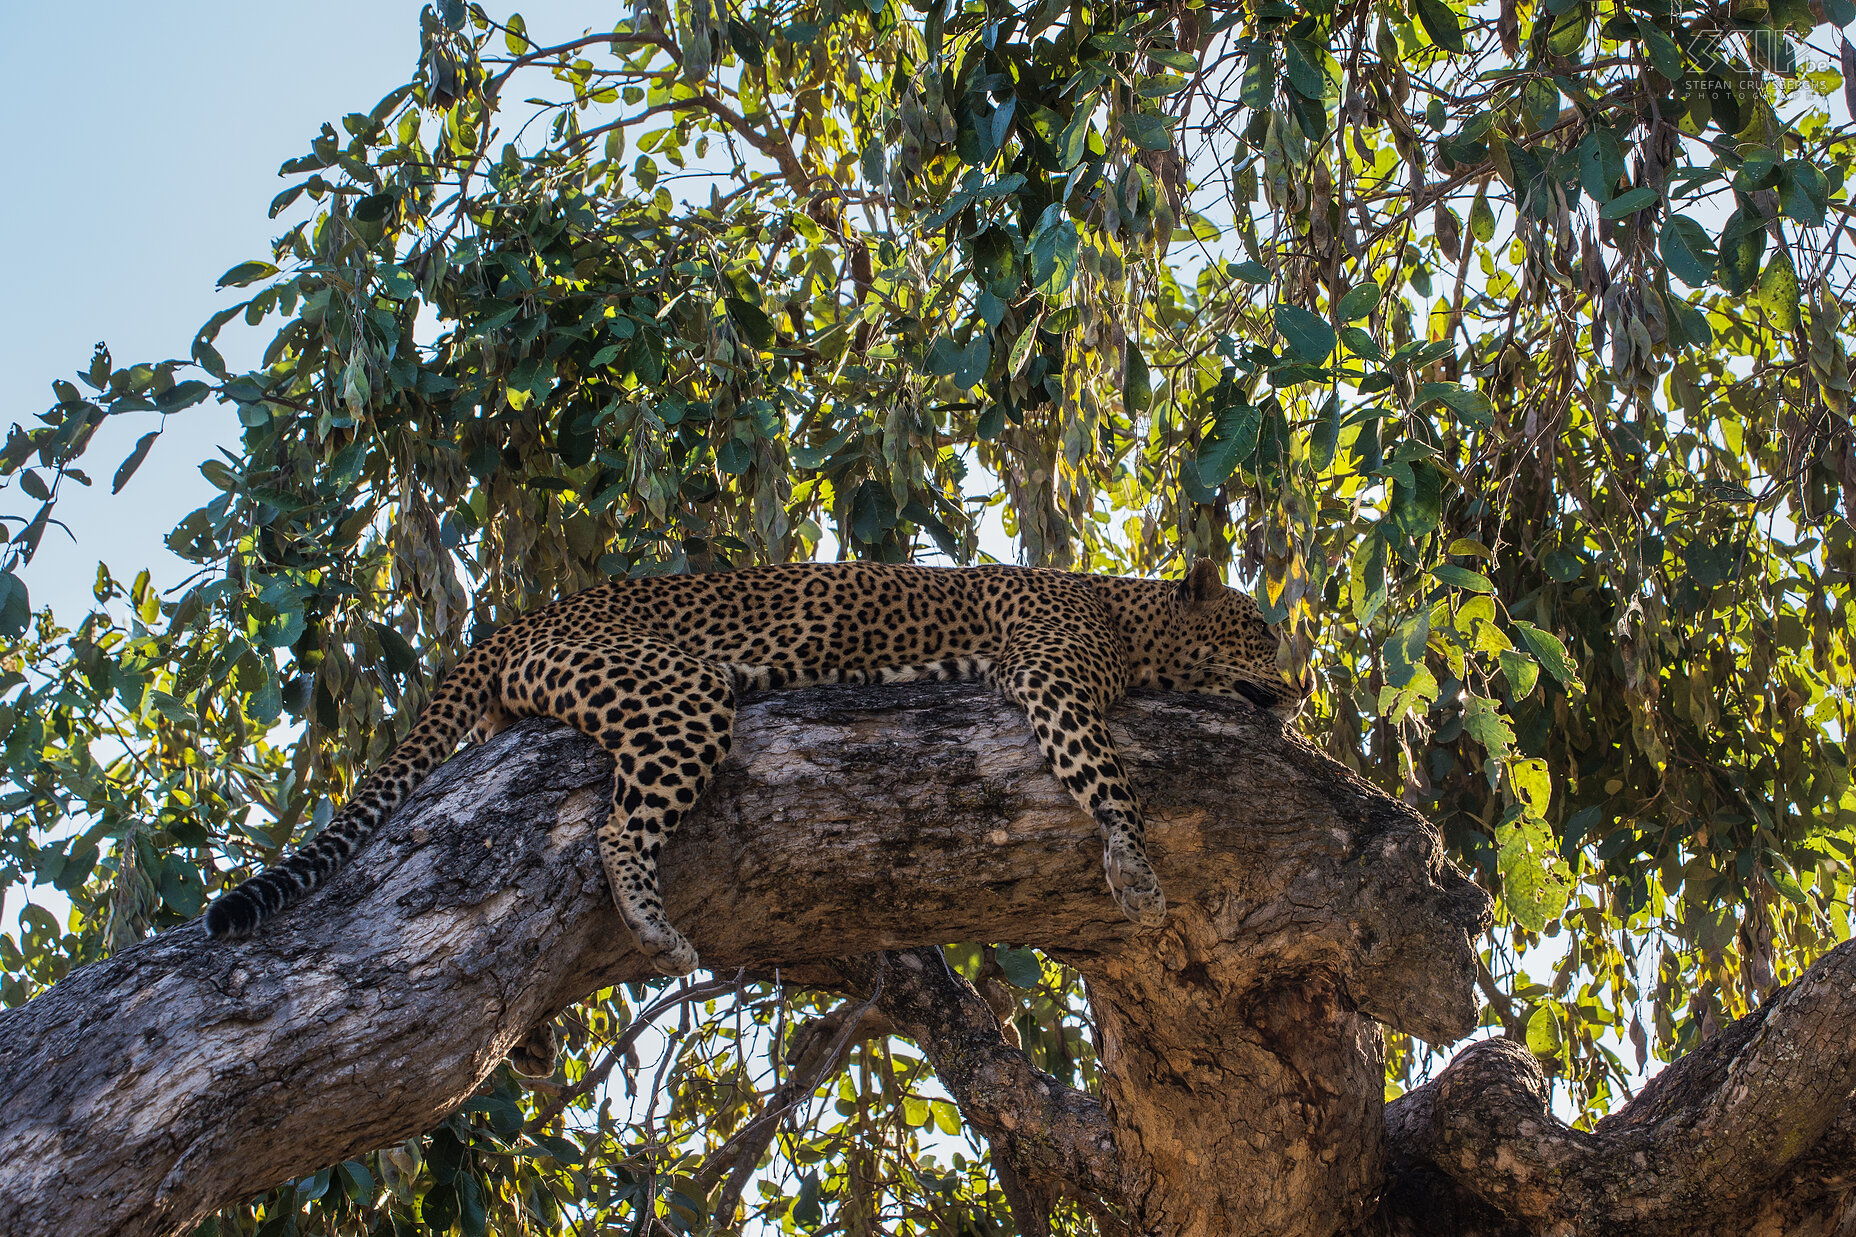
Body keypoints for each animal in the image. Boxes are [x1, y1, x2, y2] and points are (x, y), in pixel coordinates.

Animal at [203, 557, 1306, 973]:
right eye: (1257, 627)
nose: (1298, 685)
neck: (1129, 613)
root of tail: (510, 624)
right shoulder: (1051, 678)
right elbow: (1108, 780)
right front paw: (1134, 870)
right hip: (675, 692)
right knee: (616, 825)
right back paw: (653, 925)